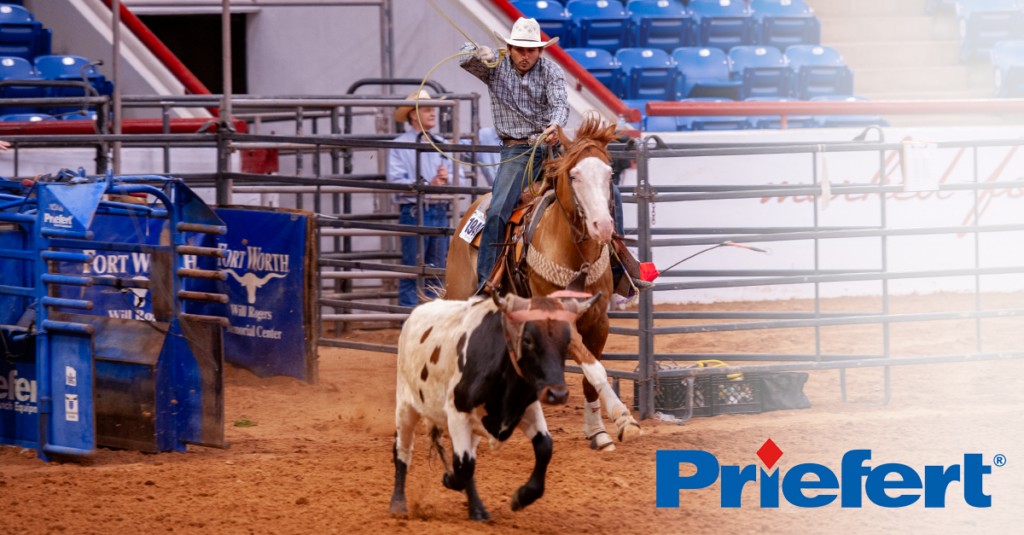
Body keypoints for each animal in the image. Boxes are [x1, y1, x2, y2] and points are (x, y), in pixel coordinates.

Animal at [446, 113, 638, 448]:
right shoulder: (558, 316)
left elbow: (591, 377)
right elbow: (596, 370)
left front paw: (599, 431)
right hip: (461, 292)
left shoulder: (599, 320)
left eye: (609, 173)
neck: (576, 255)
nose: (603, 226)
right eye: (574, 176)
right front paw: (624, 418)